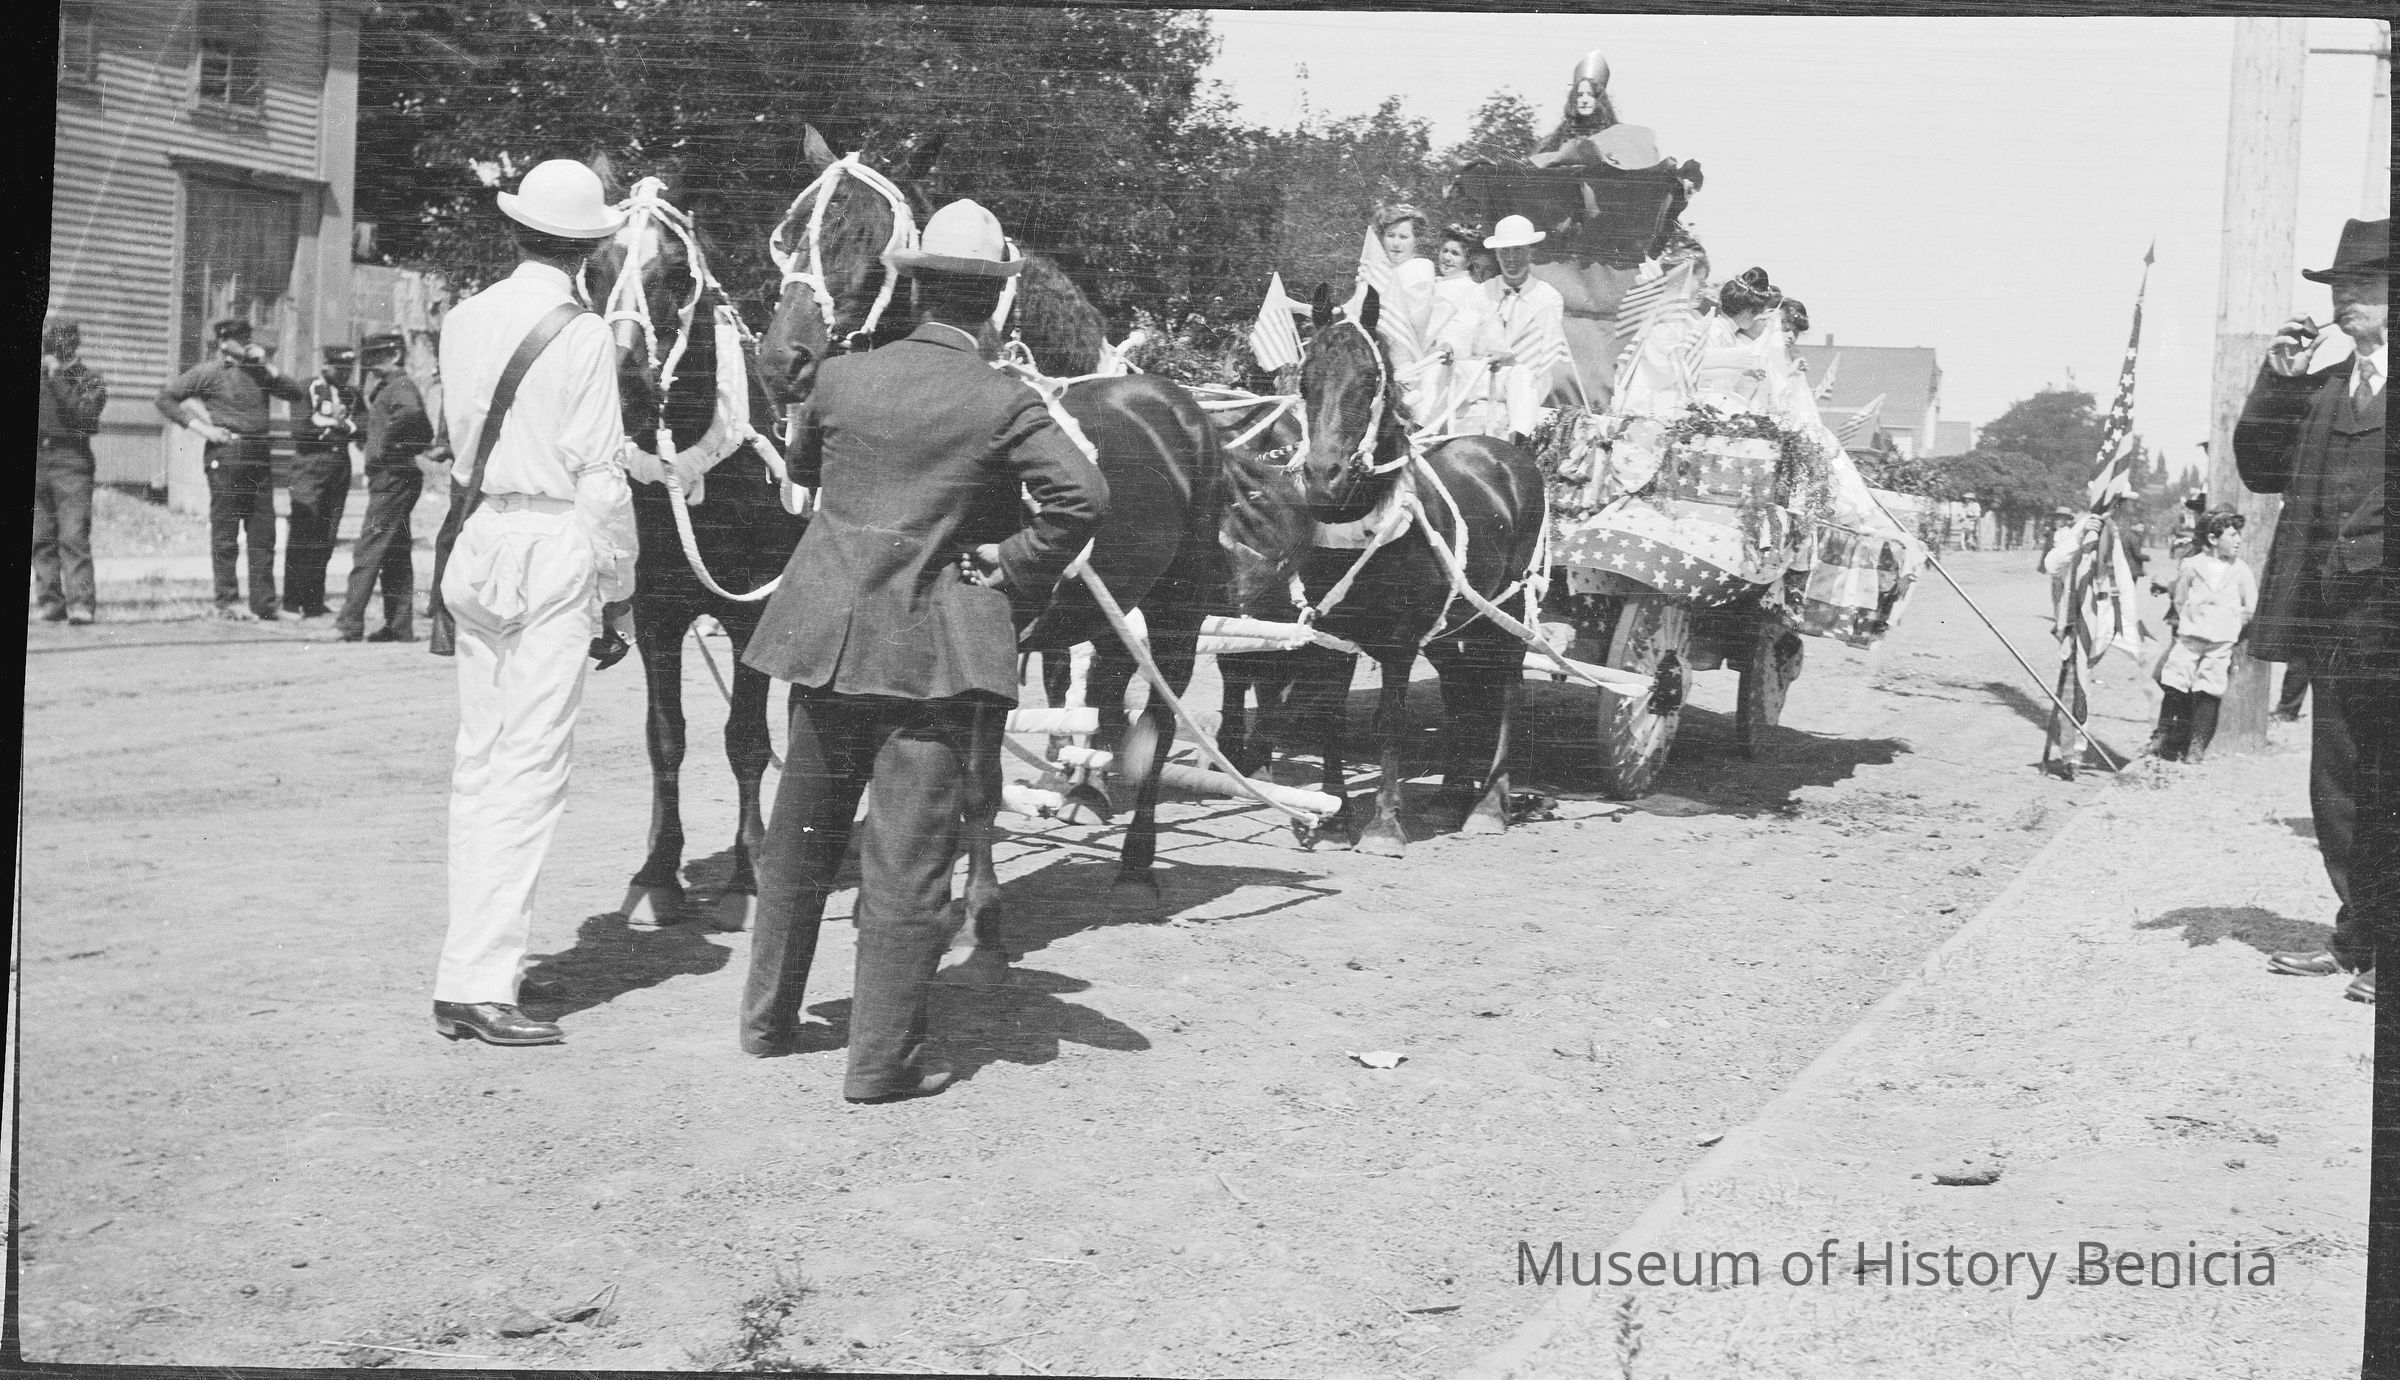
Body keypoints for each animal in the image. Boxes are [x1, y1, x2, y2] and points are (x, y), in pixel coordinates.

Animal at [587, 168, 808, 931]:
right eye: (593, 268)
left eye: (678, 275)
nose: (622, 380)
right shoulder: (657, 616)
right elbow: (666, 738)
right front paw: (658, 871)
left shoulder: (750, 617)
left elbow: (745, 740)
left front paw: (749, 872)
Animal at [1258, 283, 1549, 855]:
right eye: (1306, 380)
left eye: (1370, 381)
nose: (1324, 475)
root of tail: (1507, 453)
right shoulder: (1331, 634)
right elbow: (1330, 718)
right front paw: (1334, 814)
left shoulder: (1399, 639)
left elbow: (1390, 722)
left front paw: (1384, 823)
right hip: (1451, 622)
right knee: (1460, 688)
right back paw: (1456, 791)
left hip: (1504, 609)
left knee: (1507, 685)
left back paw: (1491, 803)